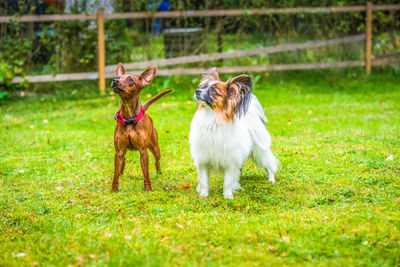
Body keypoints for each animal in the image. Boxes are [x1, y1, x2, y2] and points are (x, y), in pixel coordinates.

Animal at [111, 63, 172, 192]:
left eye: (130, 79)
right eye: (118, 77)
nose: (115, 80)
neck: (129, 119)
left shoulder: (143, 151)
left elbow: (146, 173)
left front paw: (148, 189)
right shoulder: (119, 151)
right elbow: (115, 174)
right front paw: (114, 189)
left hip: (155, 148)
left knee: (157, 161)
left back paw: (159, 173)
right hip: (123, 151)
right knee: (123, 161)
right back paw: (121, 173)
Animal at [190, 68, 278, 200]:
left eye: (213, 90)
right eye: (204, 87)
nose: (197, 91)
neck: (212, 117)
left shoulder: (230, 160)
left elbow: (227, 181)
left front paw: (228, 196)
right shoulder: (203, 159)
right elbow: (204, 180)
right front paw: (203, 195)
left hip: (259, 151)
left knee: (269, 165)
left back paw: (271, 180)